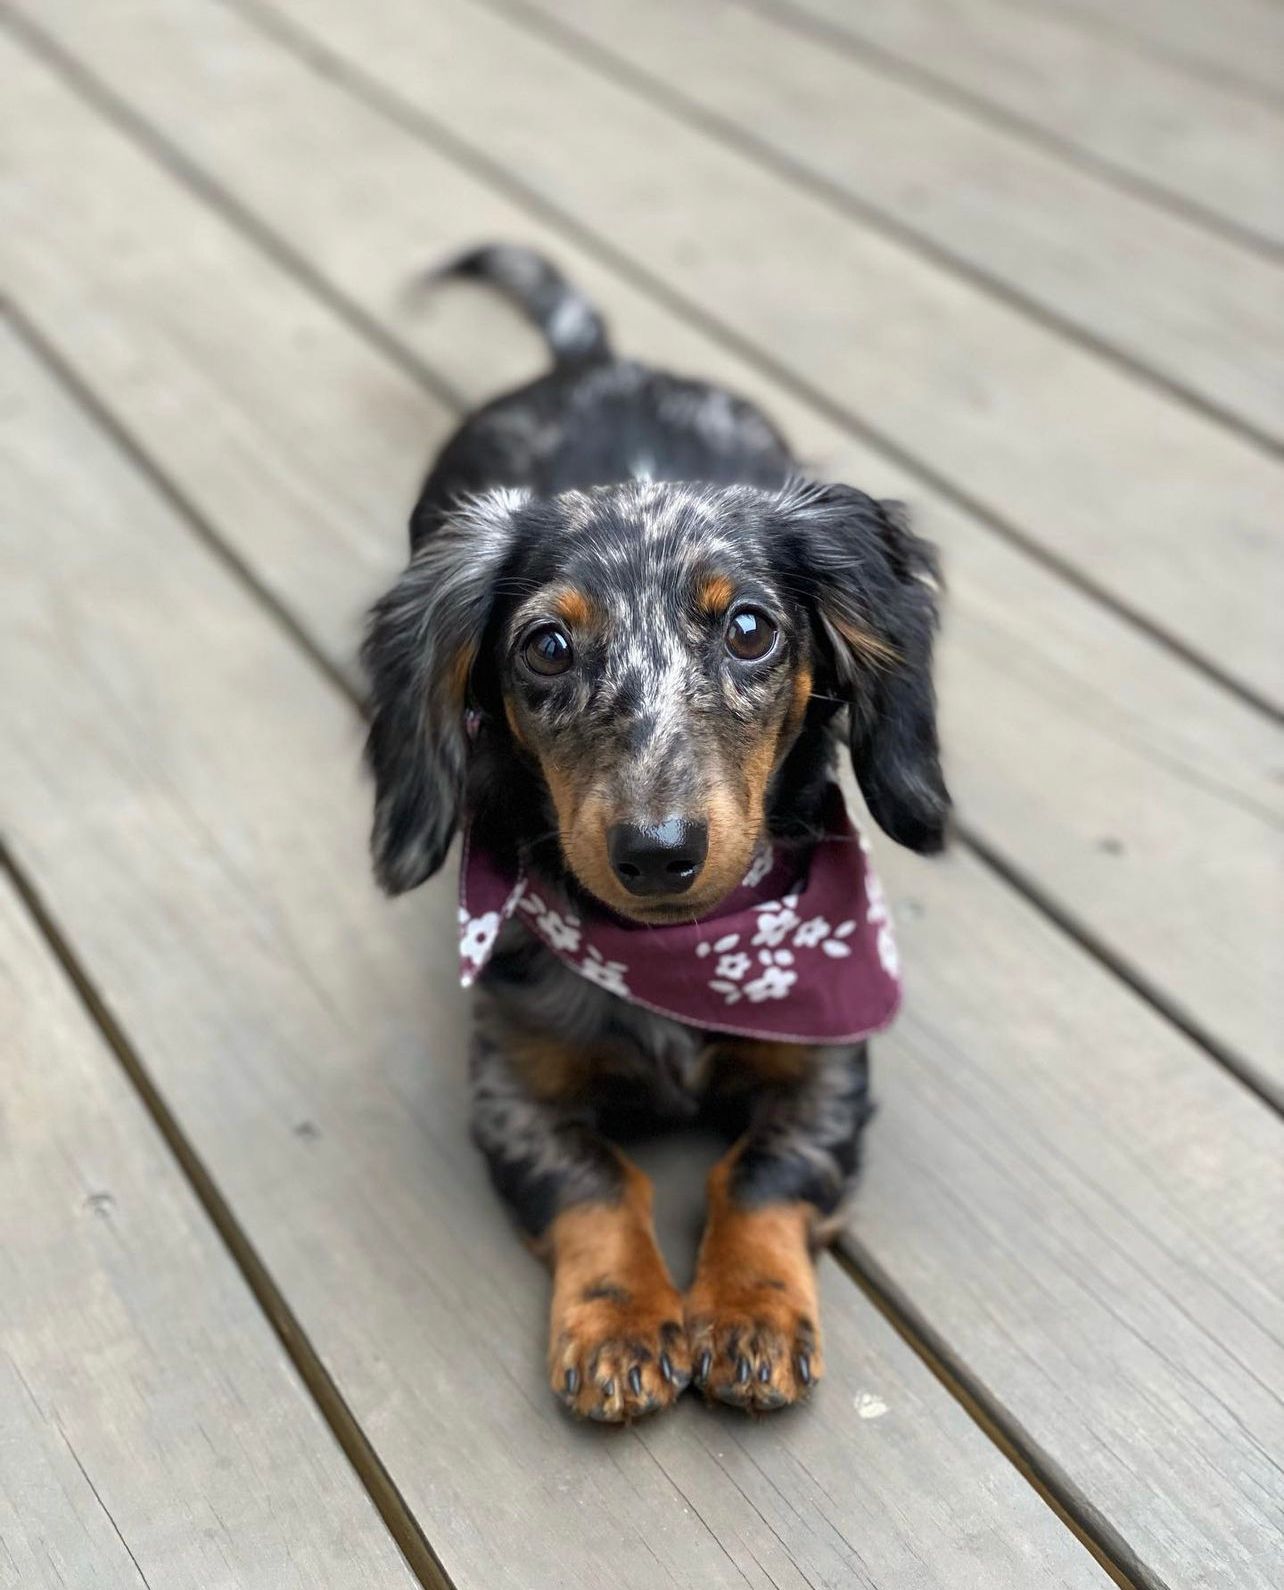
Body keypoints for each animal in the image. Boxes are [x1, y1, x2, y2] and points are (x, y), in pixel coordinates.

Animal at [360, 244, 940, 1418]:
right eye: (544, 647)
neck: (682, 957)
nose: (658, 854)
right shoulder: (512, 1088)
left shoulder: (829, 1073)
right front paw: (620, 1325)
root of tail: (600, 363)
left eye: (751, 628)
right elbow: (598, 1184)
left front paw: (749, 1313)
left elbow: (755, 1176)